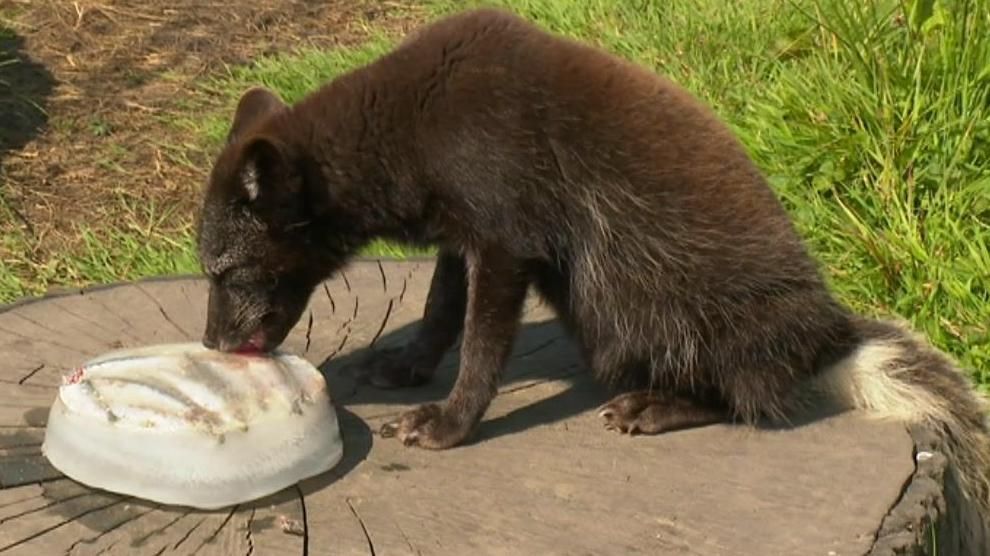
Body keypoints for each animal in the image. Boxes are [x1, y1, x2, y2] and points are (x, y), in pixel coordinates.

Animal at [194, 7, 990, 512]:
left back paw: (654, 407)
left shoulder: (506, 243)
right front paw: (408, 366)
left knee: (751, 398)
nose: (212, 344)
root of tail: (826, 335)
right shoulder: (463, 237)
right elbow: (439, 310)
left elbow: (482, 347)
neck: (417, 122)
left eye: (225, 271)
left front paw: (450, 424)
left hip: (627, 299)